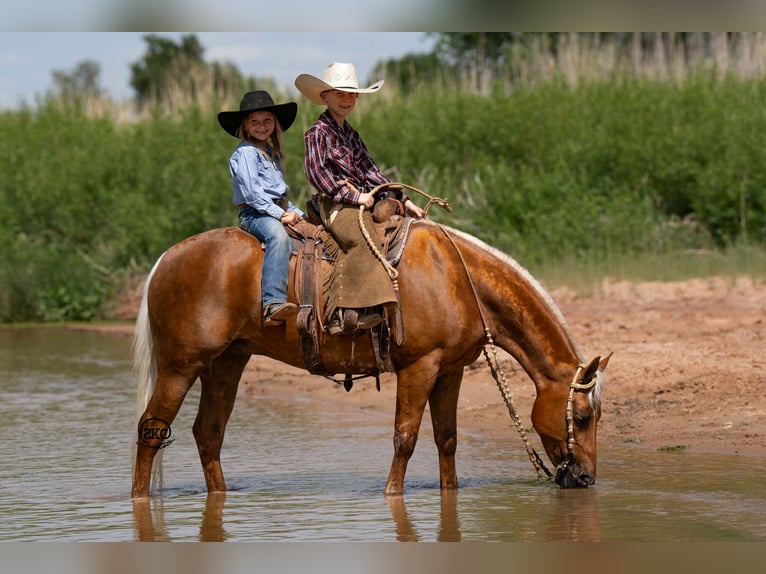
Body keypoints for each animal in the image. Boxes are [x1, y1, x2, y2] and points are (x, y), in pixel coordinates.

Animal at [130, 220, 610, 499]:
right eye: (582, 417)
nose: (586, 478)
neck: (457, 278)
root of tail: (165, 259)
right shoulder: (419, 367)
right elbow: (406, 438)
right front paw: (391, 496)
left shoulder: (451, 371)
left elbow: (447, 440)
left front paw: (449, 493)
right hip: (179, 367)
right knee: (151, 432)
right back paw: (139, 501)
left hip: (226, 364)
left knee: (208, 433)